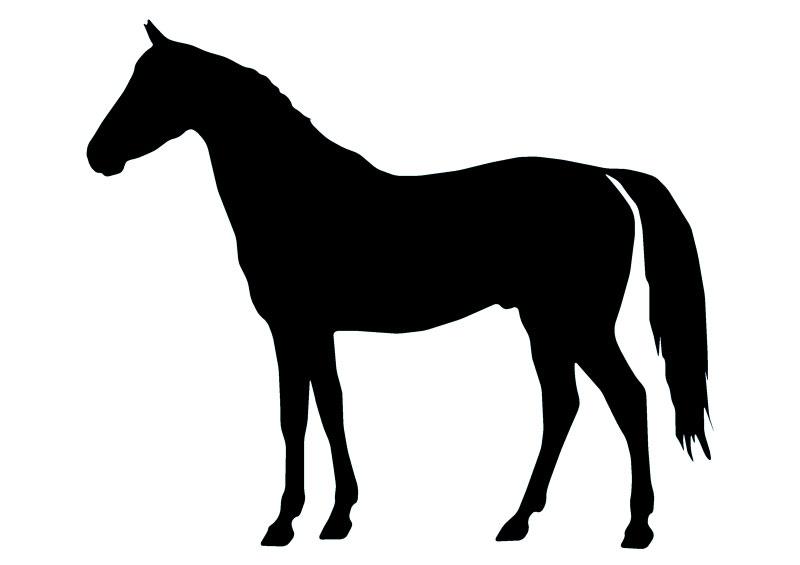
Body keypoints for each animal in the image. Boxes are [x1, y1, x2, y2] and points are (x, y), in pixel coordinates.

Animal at [87, 22, 710, 549]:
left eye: (153, 87)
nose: (98, 155)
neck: (298, 193)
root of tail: (604, 176)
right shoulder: (311, 330)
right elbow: (321, 409)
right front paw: (327, 517)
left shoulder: (295, 327)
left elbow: (302, 415)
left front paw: (295, 521)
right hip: (544, 323)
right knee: (562, 405)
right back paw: (518, 520)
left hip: (580, 324)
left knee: (627, 398)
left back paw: (636, 526)